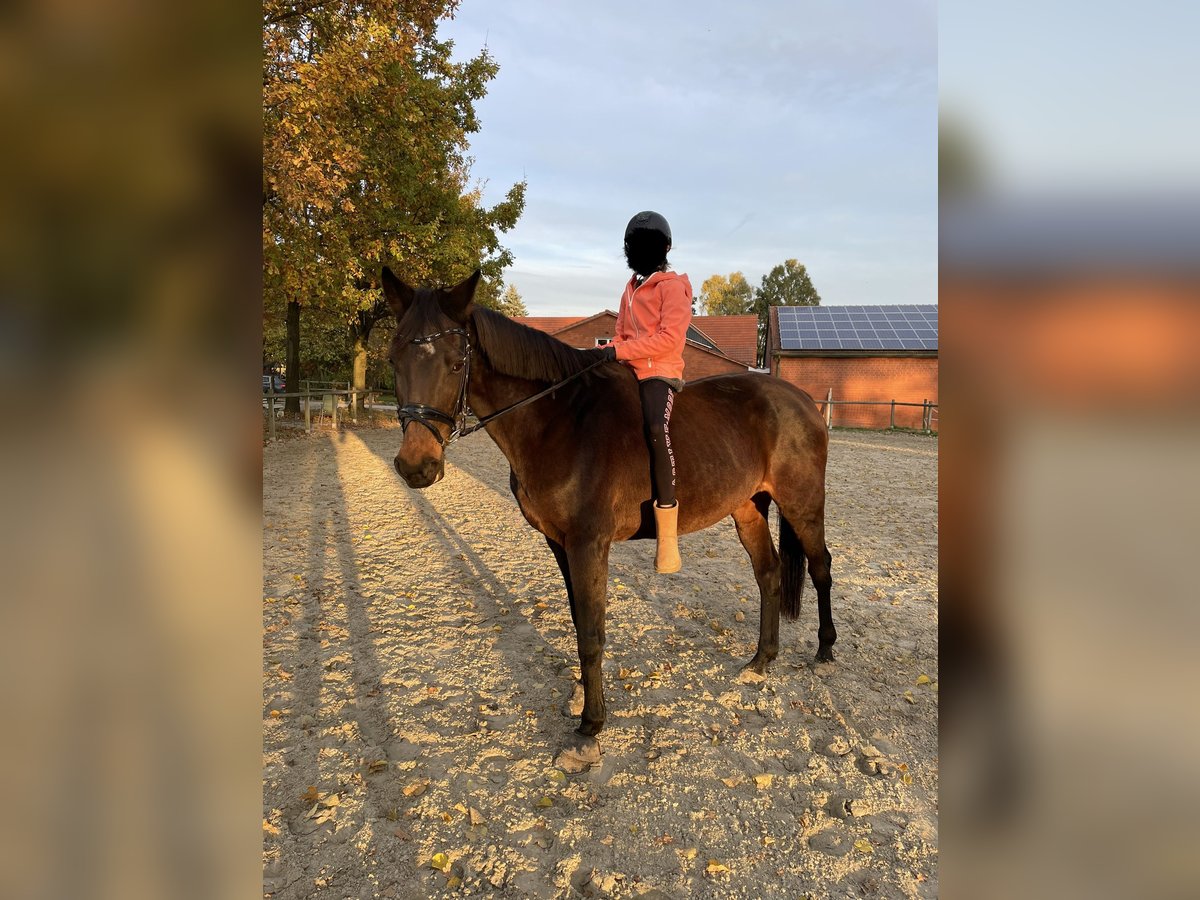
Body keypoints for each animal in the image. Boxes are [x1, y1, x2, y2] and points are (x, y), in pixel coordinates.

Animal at [384, 267, 835, 777]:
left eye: (456, 362)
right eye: (394, 358)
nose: (416, 466)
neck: (558, 422)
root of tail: (803, 402)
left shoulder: (587, 543)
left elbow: (592, 633)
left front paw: (590, 728)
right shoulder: (559, 543)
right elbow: (579, 620)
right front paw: (582, 697)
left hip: (802, 504)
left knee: (821, 567)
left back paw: (824, 650)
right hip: (747, 507)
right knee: (769, 572)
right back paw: (761, 661)